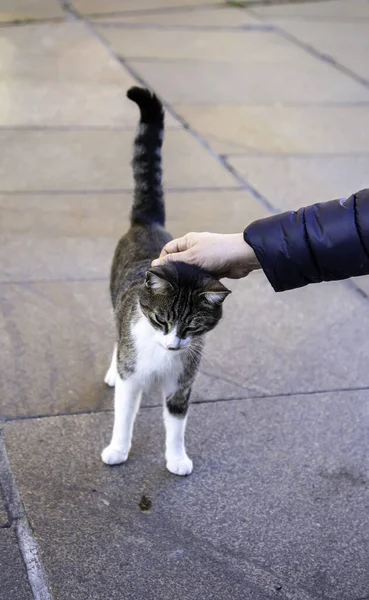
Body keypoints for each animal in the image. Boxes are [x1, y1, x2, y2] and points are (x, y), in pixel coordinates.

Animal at [100, 86, 230, 476]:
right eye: (160, 321)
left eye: (193, 327)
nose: (174, 345)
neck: (161, 357)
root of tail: (149, 221)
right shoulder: (132, 377)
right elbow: (123, 415)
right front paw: (117, 450)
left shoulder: (182, 382)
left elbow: (176, 423)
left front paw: (177, 458)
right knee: (115, 336)